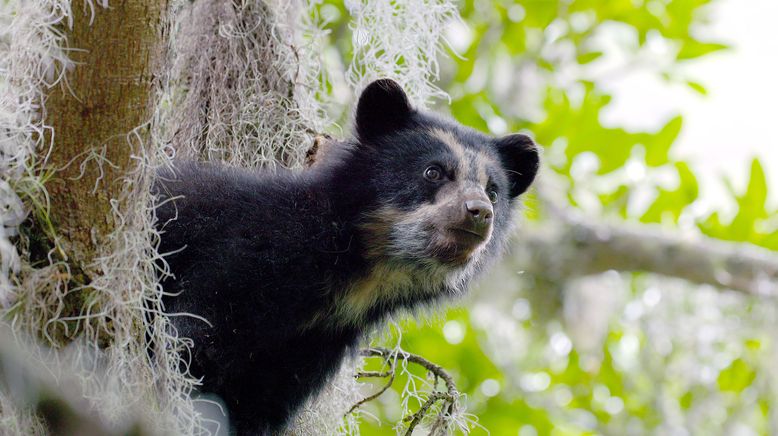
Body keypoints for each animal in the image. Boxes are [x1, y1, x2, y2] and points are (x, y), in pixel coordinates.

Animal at [155, 80, 536, 434]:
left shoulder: (316, 341)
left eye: (493, 191)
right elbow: (193, 338)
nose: (479, 212)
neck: (361, 267)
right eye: (434, 172)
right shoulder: (247, 256)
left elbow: (256, 403)